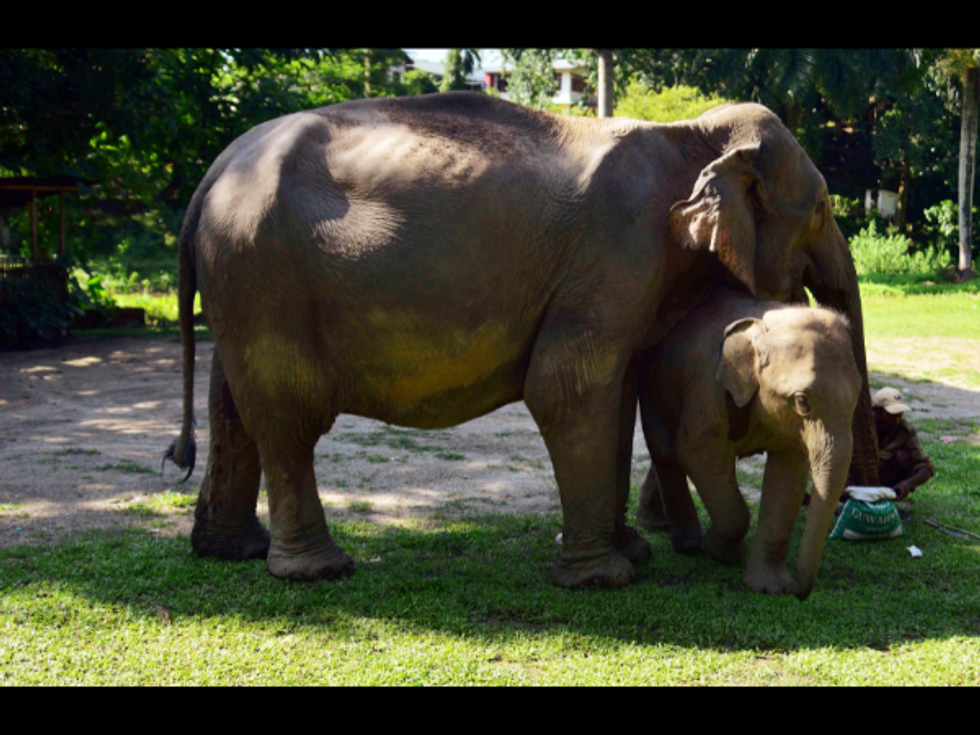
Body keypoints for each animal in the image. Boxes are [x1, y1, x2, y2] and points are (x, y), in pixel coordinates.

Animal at [634, 286, 861, 600]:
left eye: (859, 396)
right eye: (802, 401)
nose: (801, 595)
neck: (762, 324)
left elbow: (788, 476)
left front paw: (770, 588)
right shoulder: (708, 389)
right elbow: (695, 453)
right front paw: (722, 551)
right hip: (652, 383)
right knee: (665, 450)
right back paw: (688, 544)